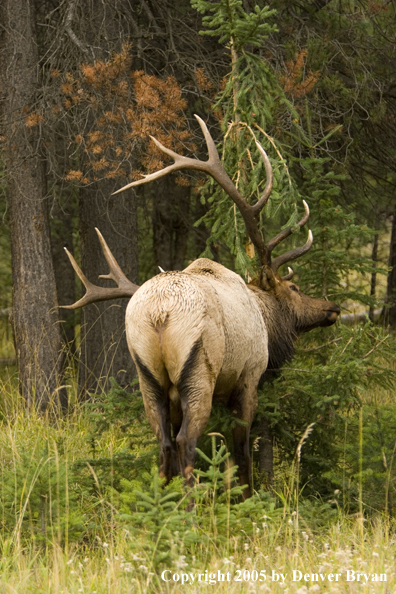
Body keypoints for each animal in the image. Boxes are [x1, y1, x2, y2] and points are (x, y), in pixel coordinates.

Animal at [62, 115, 340, 494]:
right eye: (294, 287)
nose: (332, 307)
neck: (267, 322)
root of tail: (159, 312)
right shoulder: (248, 377)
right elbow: (241, 449)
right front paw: (245, 496)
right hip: (198, 370)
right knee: (185, 442)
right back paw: (190, 506)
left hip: (148, 376)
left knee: (164, 444)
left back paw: (163, 503)